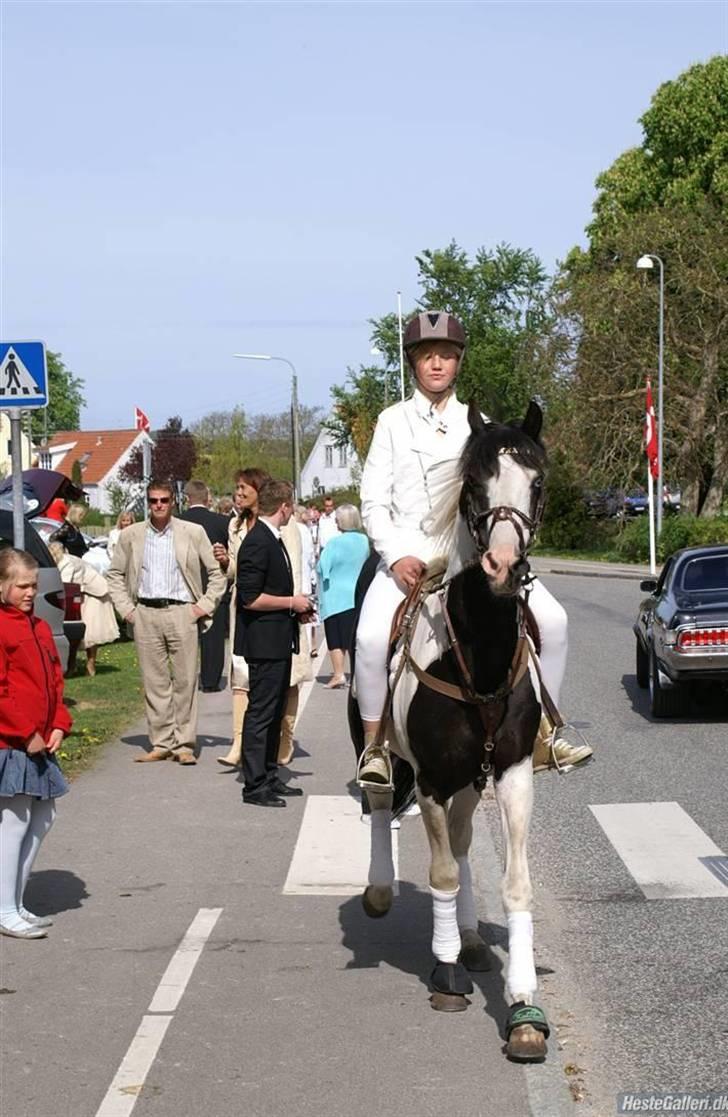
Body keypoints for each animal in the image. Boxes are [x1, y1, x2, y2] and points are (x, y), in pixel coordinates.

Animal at [352, 404, 551, 1063]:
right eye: (473, 486)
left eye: (537, 483)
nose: (503, 567)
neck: (478, 654)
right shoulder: (435, 779)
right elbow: (439, 873)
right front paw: (445, 975)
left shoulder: (511, 773)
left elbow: (514, 885)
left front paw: (524, 1006)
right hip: (392, 754)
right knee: (382, 804)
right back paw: (382, 892)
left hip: (474, 778)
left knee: (464, 845)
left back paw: (468, 936)